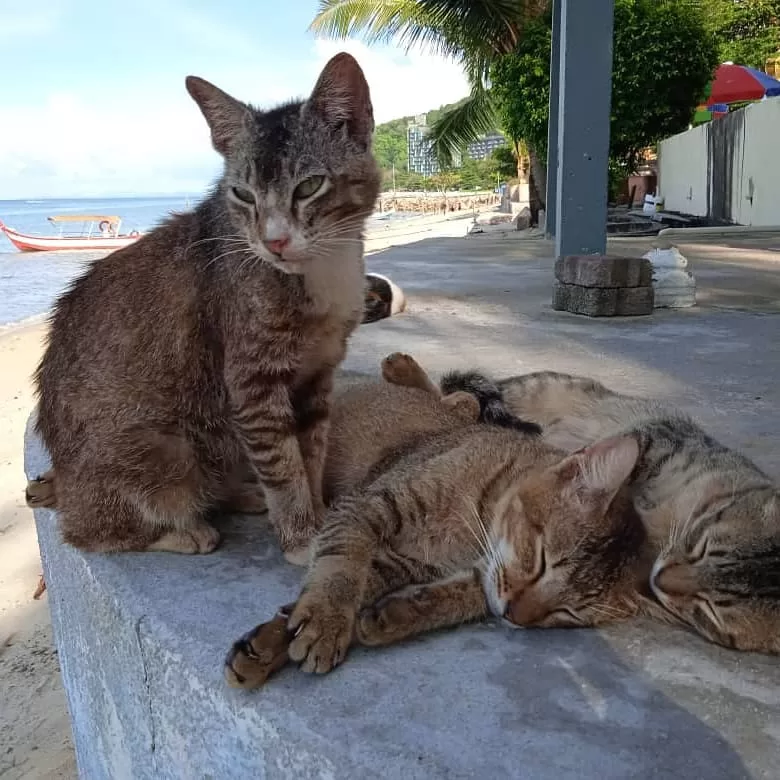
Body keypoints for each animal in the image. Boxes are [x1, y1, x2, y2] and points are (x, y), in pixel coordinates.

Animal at [33, 53, 380, 560]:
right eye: (242, 195)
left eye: (310, 186)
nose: (274, 242)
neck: (321, 269)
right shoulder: (252, 382)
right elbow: (283, 464)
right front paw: (301, 535)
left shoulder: (319, 375)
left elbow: (311, 454)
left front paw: (316, 511)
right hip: (166, 449)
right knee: (89, 532)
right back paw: (183, 530)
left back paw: (241, 494)